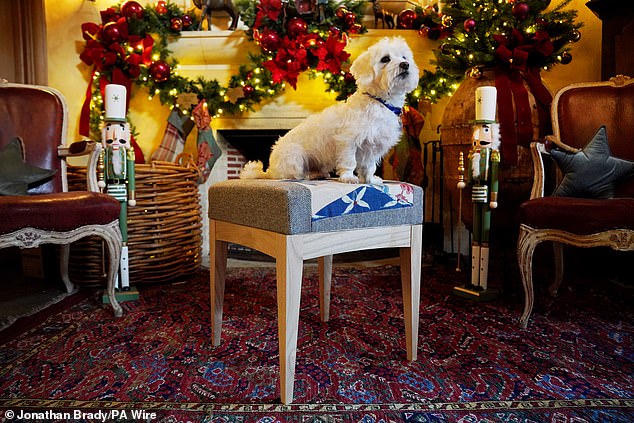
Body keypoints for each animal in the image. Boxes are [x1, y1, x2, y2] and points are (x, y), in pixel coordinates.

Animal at [239, 36, 418, 182]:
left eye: (404, 57)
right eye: (385, 59)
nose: (405, 64)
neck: (379, 102)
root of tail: (269, 170)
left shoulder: (372, 147)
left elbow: (369, 167)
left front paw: (370, 180)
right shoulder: (348, 141)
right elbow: (349, 162)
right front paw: (349, 178)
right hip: (295, 159)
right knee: (290, 175)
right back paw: (304, 176)